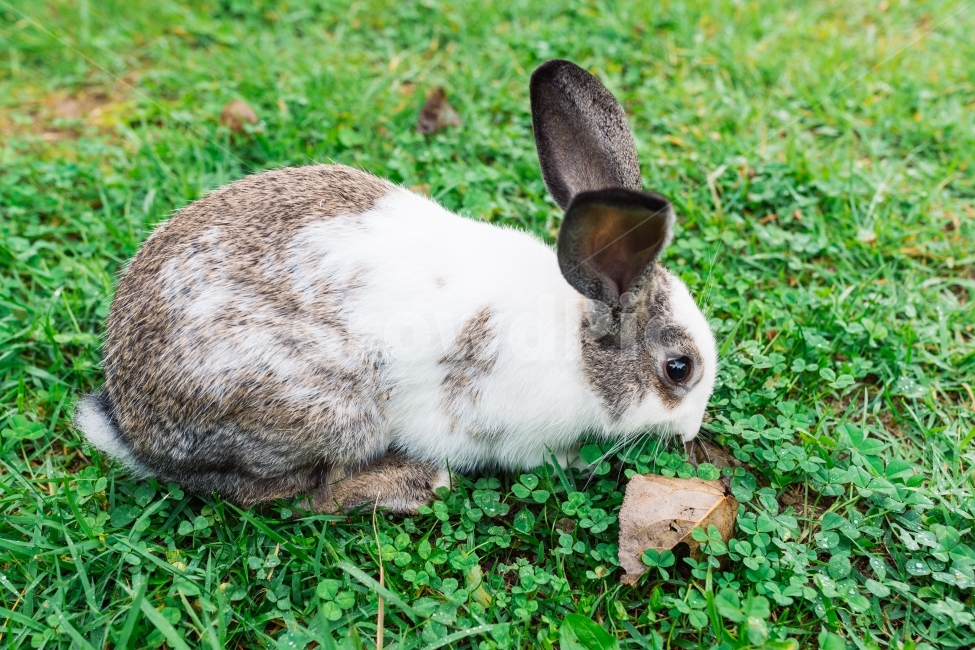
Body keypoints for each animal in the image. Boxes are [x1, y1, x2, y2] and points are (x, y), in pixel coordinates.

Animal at [74, 59, 718, 514]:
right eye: (679, 369)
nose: (691, 430)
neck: (579, 343)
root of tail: (131, 426)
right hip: (327, 410)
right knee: (295, 496)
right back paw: (415, 483)